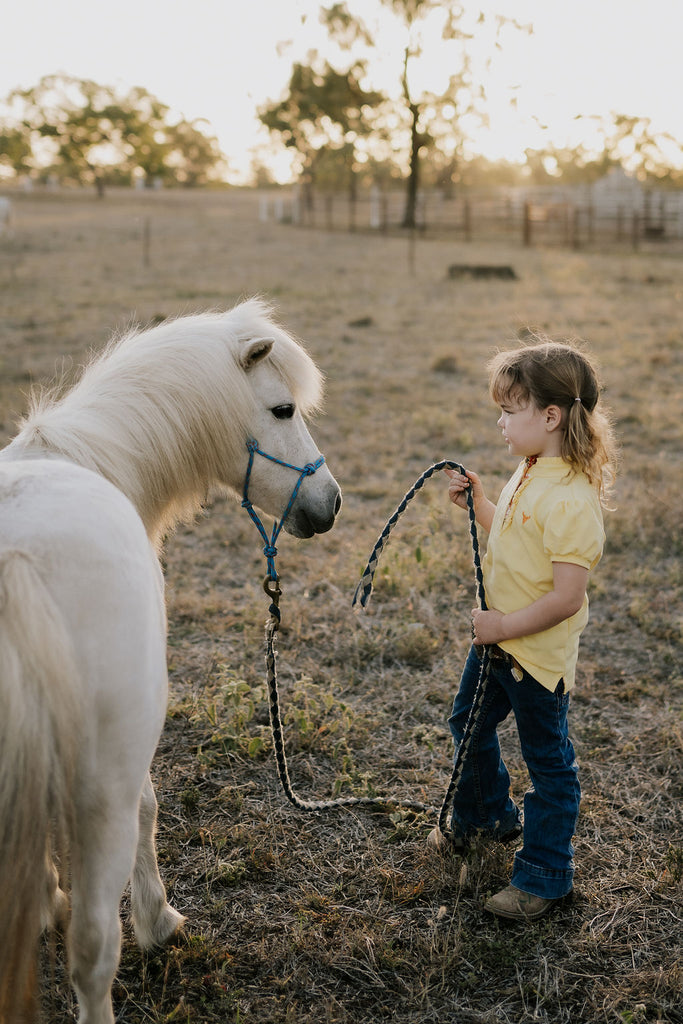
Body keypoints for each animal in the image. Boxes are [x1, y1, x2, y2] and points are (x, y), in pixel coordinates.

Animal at [0, 299, 342, 1024]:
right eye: (281, 409)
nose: (330, 503)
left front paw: (43, 899)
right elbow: (150, 810)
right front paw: (158, 921)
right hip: (102, 786)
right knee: (93, 948)